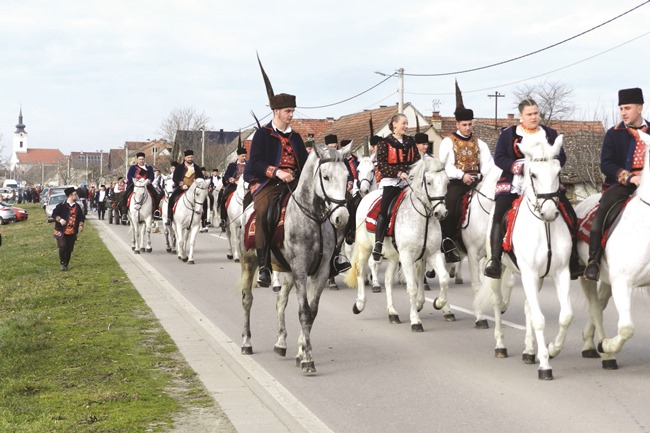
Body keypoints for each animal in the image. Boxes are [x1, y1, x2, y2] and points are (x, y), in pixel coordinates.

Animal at [237, 143, 350, 372]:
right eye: (326, 176)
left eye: (346, 176)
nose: (341, 217)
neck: (313, 219)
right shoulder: (300, 270)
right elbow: (304, 312)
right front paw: (308, 360)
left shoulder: (320, 272)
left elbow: (311, 312)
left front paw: (301, 352)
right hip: (249, 263)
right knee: (247, 300)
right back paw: (246, 343)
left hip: (287, 270)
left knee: (280, 300)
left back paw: (281, 343)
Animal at [344, 156, 450, 330]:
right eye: (429, 182)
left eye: (447, 182)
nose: (441, 213)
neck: (423, 219)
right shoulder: (407, 257)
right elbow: (412, 287)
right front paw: (415, 321)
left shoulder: (432, 253)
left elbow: (444, 279)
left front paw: (439, 303)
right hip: (366, 248)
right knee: (360, 270)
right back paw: (359, 304)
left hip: (393, 256)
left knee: (388, 281)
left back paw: (392, 313)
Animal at [476, 134, 572, 378]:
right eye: (534, 174)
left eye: (558, 172)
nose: (549, 212)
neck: (544, 226)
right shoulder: (528, 272)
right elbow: (539, 319)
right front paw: (545, 365)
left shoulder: (561, 272)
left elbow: (565, 316)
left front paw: (552, 349)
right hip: (498, 272)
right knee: (497, 302)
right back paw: (501, 346)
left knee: (529, 306)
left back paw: (529, 352)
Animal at [576, 129, 648, 368]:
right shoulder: (622, 282)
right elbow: (626, 328)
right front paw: (606, 345)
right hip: (587, 274)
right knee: (595, 307)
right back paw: (600, 350)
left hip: (607, 279)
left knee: (600, 302)